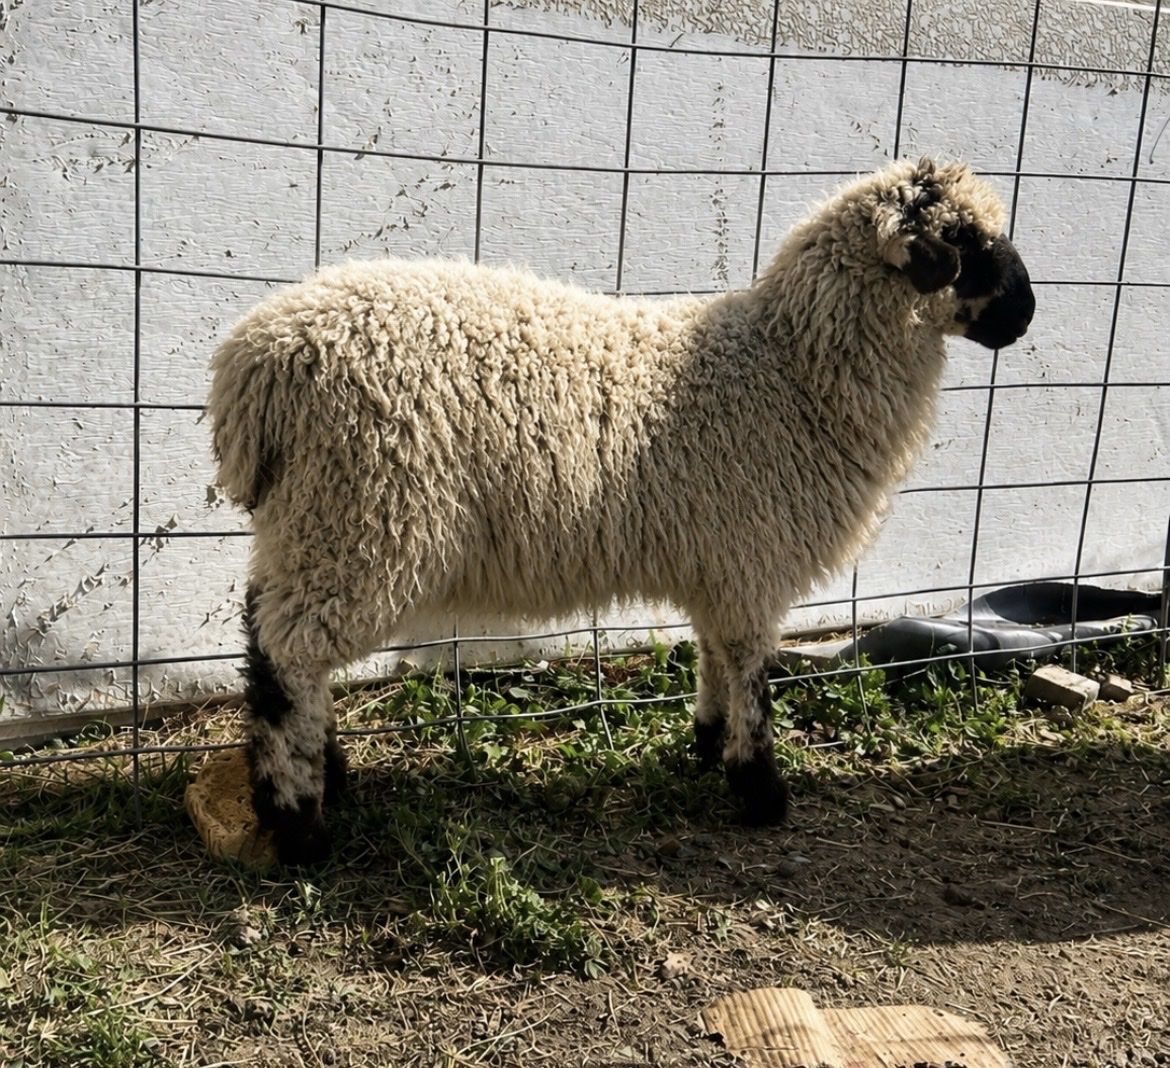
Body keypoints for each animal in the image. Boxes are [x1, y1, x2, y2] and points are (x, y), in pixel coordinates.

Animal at [208, 156, 1035, 866]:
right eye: (967, 241)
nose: (1026, 316)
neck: (791, 370)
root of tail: (257, 364)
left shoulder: (723, 563)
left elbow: (715, 656)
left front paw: (707, 747)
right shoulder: (752, 561)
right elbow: (751, 674)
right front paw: (760, 790)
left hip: (312, 521)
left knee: (268, 632)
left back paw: (329, 770)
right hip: (365, 517)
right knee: (289, 656)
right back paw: (298, 821)